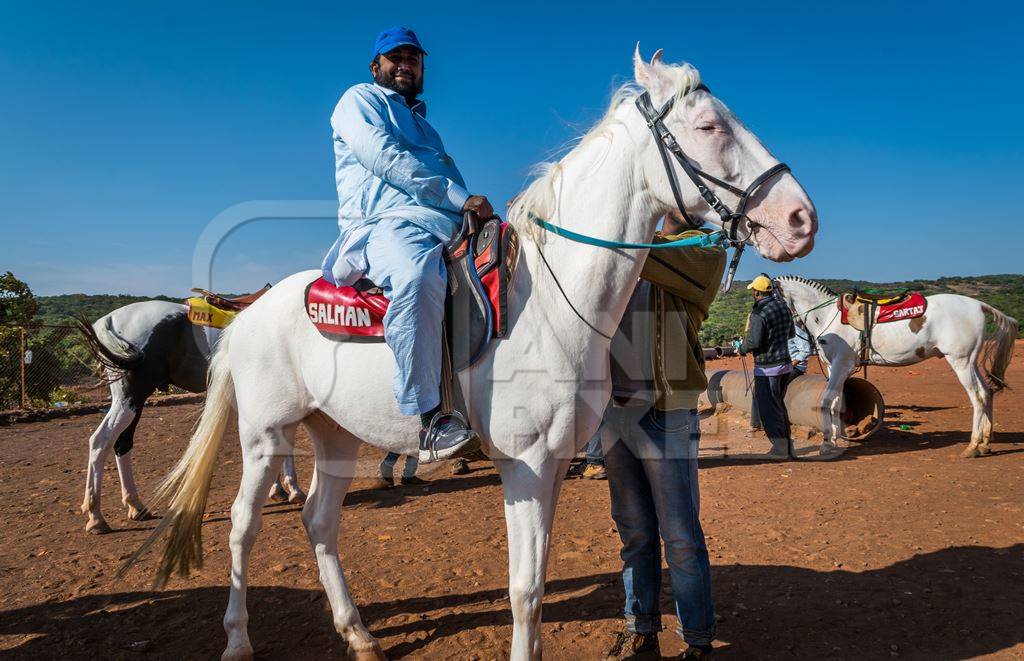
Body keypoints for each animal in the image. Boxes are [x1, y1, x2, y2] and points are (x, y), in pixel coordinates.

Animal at [132, 49, 815, 658]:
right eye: (709, 126)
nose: (802, 219)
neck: (551, 302)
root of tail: (248, 312)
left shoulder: (553, 465)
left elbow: (536, 583)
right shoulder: (527, 465)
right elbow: (525, 593)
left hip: (336, 434)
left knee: (319, 523)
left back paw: (359, 636)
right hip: (265, 435)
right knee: (242, 529)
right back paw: (238, 641)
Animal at [778, 276, 1011, 458]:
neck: (826, 315)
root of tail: (979, 305)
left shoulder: (841, 365)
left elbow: (827, 401)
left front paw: (827, 444)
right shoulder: (832, 367)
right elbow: (836, 401)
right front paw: (833, 439)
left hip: (960, 361)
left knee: (978, 397)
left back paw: (972, 446)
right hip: (971, 361)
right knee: (987, 392)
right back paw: (985, 444)